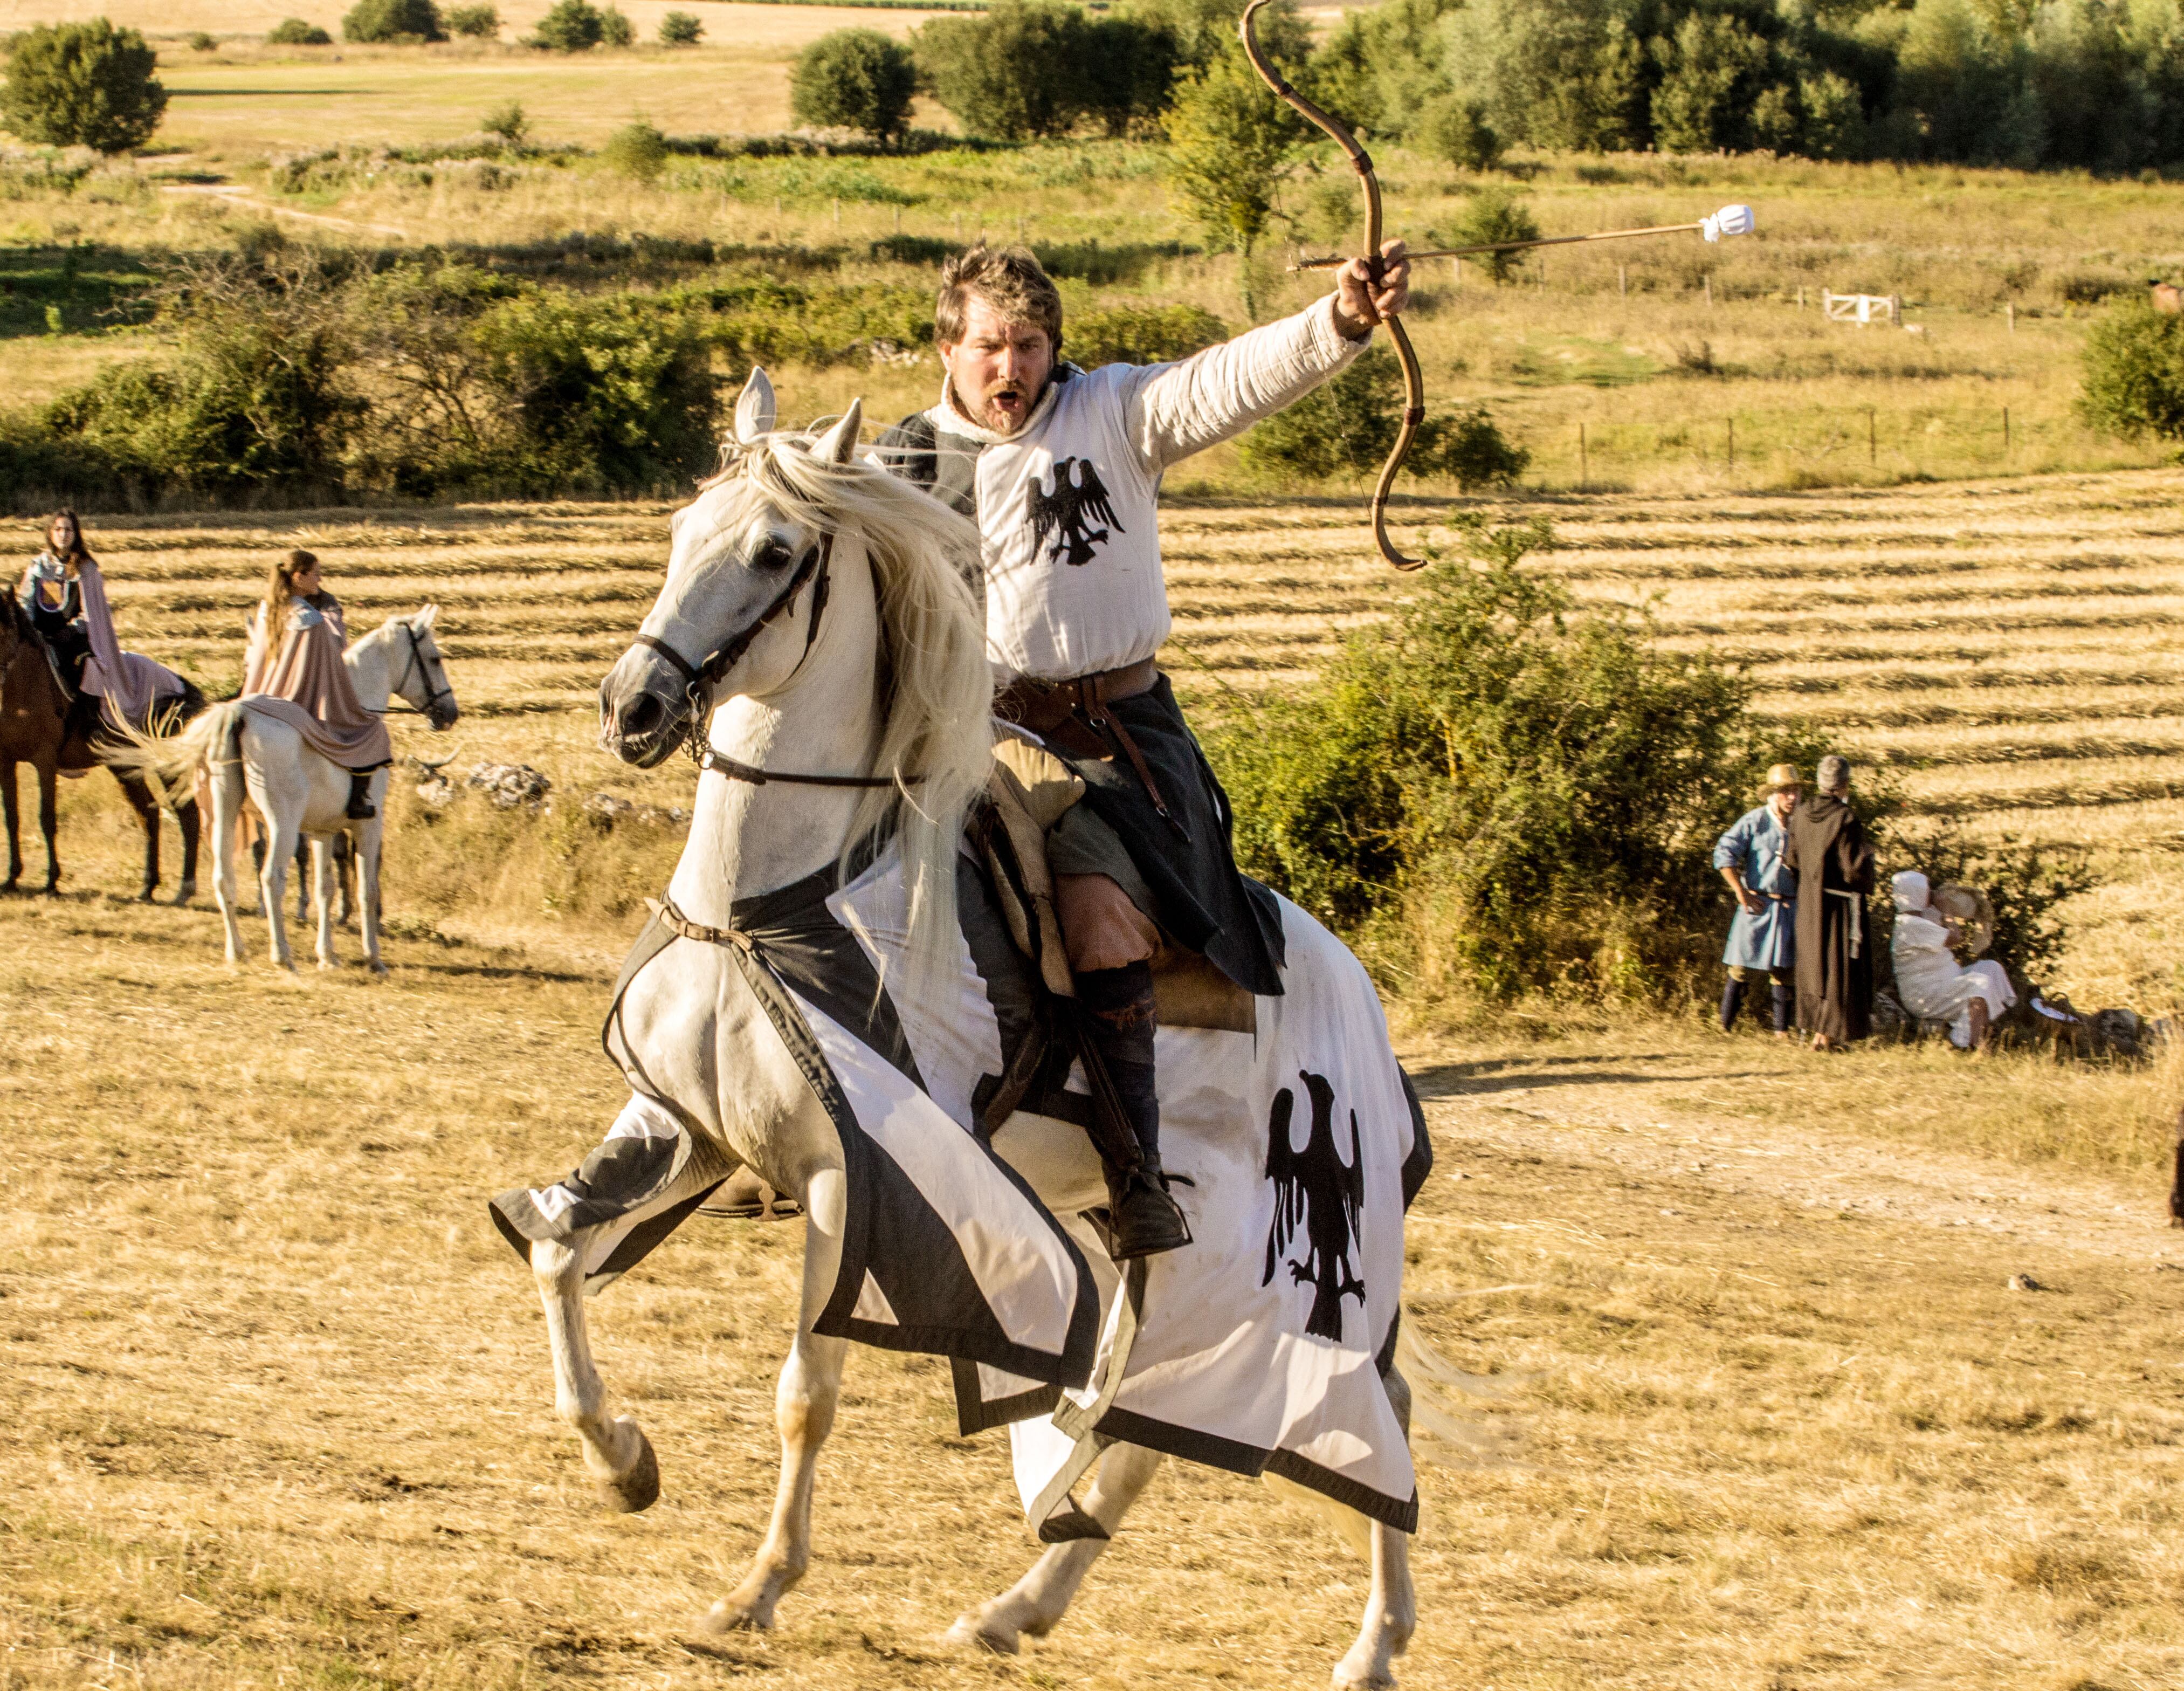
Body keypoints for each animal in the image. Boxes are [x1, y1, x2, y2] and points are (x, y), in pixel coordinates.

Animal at [0, 589, 204, 900]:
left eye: (5, 628)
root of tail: (181, 684)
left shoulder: (45, 761)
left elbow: (47, 818)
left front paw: (52, 881)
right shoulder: (5, 761)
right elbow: (12, 818)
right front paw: (12, 878)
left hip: (165, 763)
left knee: (187, 814)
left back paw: (185, 888)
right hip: (125, 766)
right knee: (149, 813)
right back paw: (148, 886)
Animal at [123, 607, 456, 979]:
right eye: (435, 658)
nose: (450, 713)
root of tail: (237, 714)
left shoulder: (323, 830)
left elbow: (325, 888)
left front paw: (327, 955)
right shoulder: (369, 824)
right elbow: (366, 890)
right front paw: (374, 957)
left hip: (225, 812)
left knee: (223, 878)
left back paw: (236, 951)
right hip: (282, 822)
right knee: (272, 878)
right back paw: (282, 954)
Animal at [535, 387, 1424, 1691]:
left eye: (774, 552)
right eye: (684, 527)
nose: (630, 709)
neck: (772, 897)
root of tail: (1358, 988)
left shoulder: (845, 1178)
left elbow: (806, 1391)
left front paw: (757, 1588)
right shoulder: (682, 1123)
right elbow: (558, 1248)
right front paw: (622, 1461)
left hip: (1290, 1245)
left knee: (1367, 1404)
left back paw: (1371, 1645)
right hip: (1150, 1238)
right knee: (1158, 1419)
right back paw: (1020, 1604)